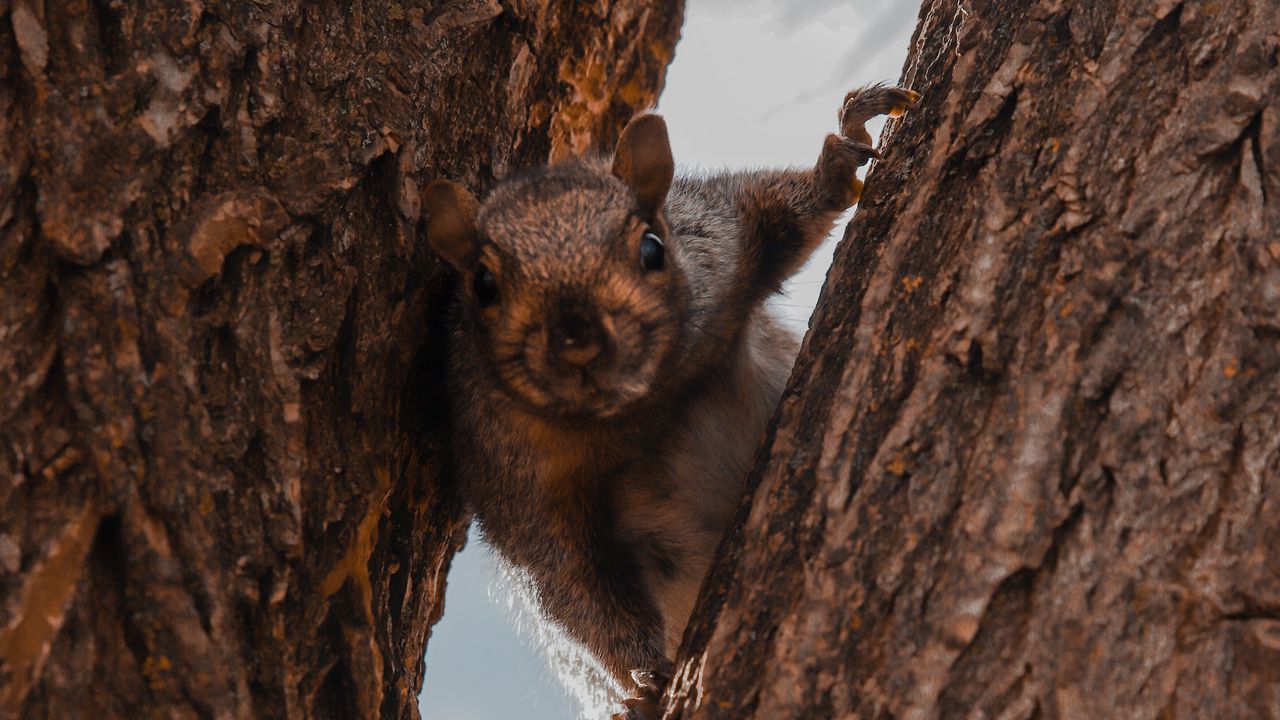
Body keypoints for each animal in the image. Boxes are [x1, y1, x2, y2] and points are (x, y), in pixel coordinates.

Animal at [422, 84, 918, 719]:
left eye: (652, 248)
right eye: (483, 284)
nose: (579, 342)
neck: (644, 410)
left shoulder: (722, 239)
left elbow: (784, 213)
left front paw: (841, 153)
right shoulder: (517, 486)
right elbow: (574, 590)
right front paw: (643, 679)